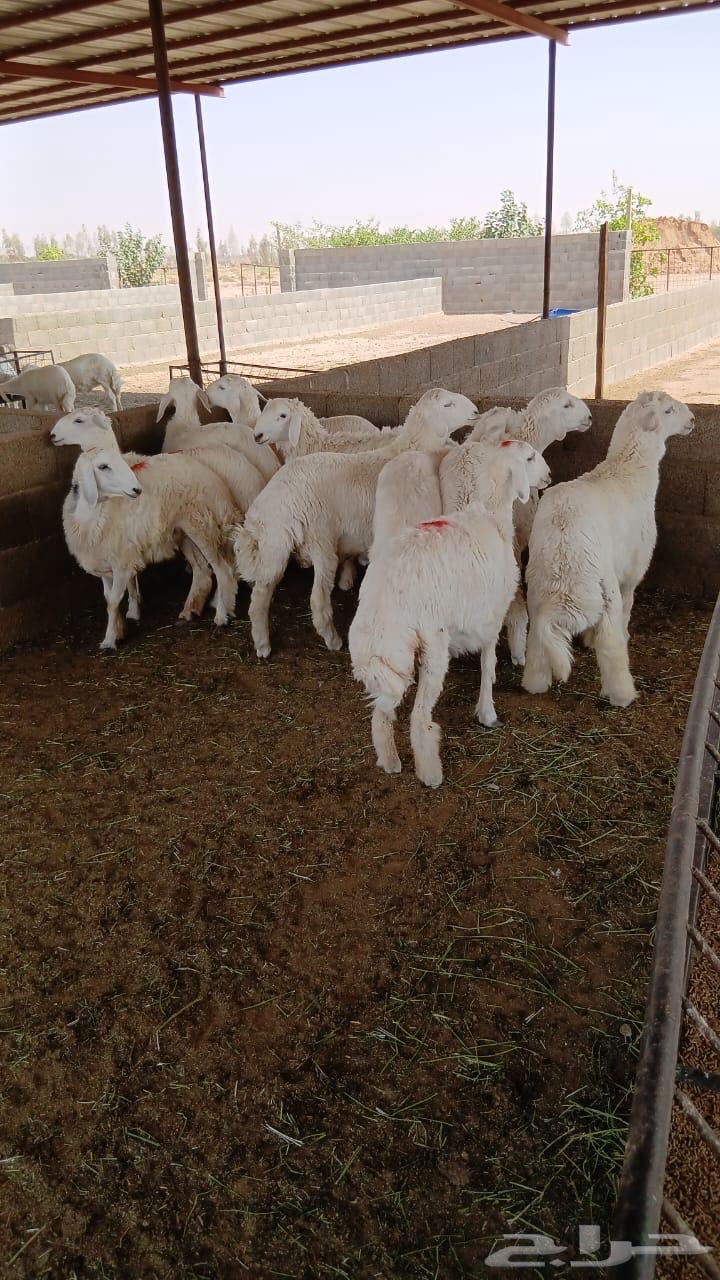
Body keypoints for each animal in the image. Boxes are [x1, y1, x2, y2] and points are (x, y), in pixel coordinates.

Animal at [63, 445, 239, 651]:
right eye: (103, 466)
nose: (137, 489)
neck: (95, 514)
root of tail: (213, 478)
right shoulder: (104, 566)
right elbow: (108, 599)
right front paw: (119, 630)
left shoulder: (122, 563)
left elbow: (113, 602)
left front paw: (109, 640)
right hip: (182, 532)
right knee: (202, 569)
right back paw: (189, 610)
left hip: (202, 525)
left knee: (223, 570)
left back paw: (221, 616)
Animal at [233, 388, 479, 658]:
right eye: (447, 404)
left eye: (282, 415)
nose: (476, 411)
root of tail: (268, 504)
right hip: (318, 538)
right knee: (316, 601)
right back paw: (332, 640)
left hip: (275, 546)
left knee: (260, 595)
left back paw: (262, 645)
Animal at [349, 439, 551, 788]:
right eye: (529, 457)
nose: (549, 476)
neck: (492, 516)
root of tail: (383, 603)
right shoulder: (491, 615)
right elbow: (488, 664)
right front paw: (487, 713)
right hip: (432, 642)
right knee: (419, 719)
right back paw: (431, 774)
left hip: (390, 656)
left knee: (381, 716)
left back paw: (390, 762)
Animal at [522, 390, 695, 707]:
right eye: (668, 411)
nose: (691, 420)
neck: (627, 470)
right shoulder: (632, 570)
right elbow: (628, 605)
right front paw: (616, 636)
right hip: (605, 587)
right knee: (611, 647)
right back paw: (622, 694)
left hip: (537, 593)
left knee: (537, 645)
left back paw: (534, 684)